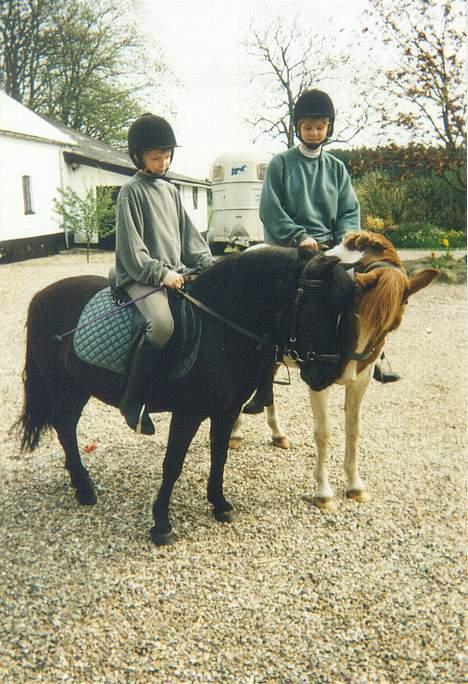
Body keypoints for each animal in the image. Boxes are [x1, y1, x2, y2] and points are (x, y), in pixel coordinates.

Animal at [14, 246, 362, 545]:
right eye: (319, 308)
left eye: (348, 310)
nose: (326, 376)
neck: (220, 328)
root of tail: (41, 296)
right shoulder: (188, 413)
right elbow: (173, 464)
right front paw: (161, 524)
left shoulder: (227, 410)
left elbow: (219, 456)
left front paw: (219, 504)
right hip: (64, 387)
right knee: (65, 428)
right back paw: (85, 488)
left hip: (77, 388)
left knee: (66, 427)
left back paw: (80, 483)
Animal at [230, 231, 438, 510]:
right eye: (354, 309)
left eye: (390, 325)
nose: (345, 370)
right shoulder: (318, 382)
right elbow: (323, 432)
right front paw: (323, 492)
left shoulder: (361, 381)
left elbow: (353, 429)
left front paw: (355, 486)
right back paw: (236, 433)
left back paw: (278, 434)